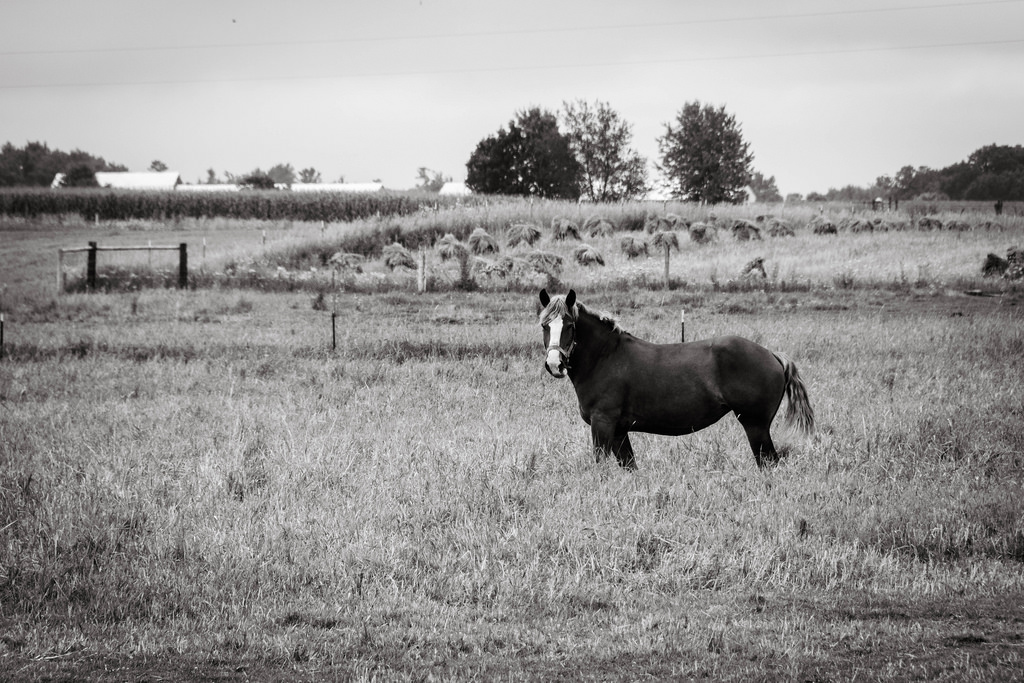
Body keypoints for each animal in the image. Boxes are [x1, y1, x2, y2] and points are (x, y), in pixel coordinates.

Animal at [536, 288, 815, 471]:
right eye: (544, 326)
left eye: (570, 325)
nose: (555, 364)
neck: (605, 357)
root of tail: (773, 355)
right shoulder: (619, 432)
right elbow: (630, 467)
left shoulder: (603, 424)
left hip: (755, 425)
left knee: (769, 463)